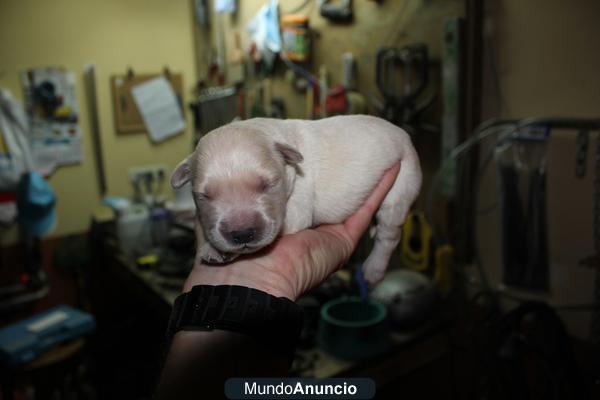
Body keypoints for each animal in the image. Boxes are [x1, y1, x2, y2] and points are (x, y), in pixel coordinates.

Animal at [169, 115, 422, 284]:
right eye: (204, 196)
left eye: (268, 184)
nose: (242, 233)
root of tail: (405, 135)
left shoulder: (298, 205)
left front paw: (215, 250)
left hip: (401, 184)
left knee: (389, 235)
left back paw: (374, 269)